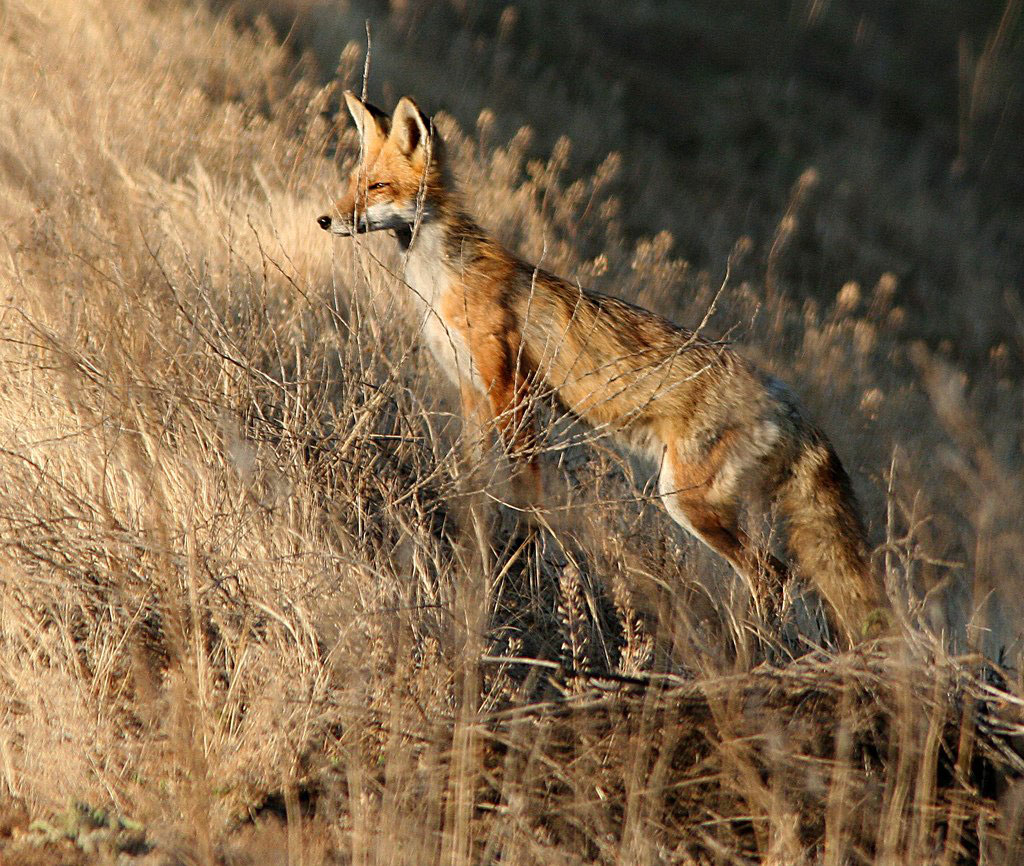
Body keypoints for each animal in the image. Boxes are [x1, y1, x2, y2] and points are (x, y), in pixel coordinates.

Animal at [319, 93, 888, 642]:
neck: (442, 280)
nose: (326, 220)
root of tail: (788, 398)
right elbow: (475, 482)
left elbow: (526, 496)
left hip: (685, 499)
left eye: (377, 187)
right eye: (351, 185)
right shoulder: (472, 394)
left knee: (773, 573)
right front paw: (474, 538)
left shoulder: (512, 391)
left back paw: (753, 649)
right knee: (775, 574)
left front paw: (520, 565)